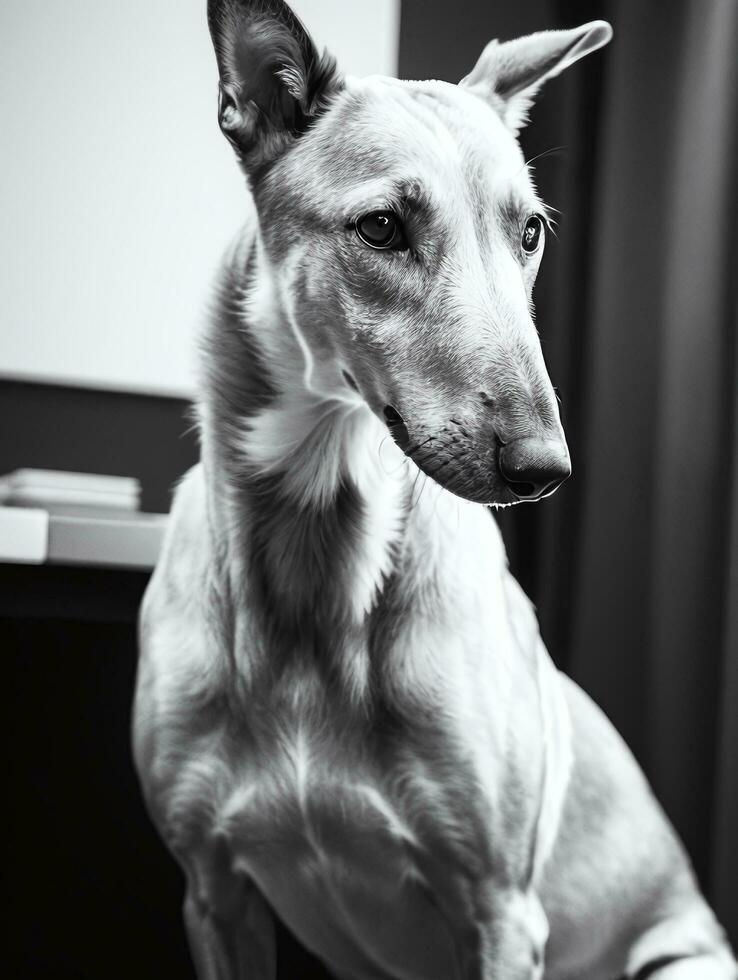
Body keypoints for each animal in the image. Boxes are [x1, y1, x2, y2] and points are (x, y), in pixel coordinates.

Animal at [134, 3, 736, 976]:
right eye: (381, 228)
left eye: (530, 233)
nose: (546, 470)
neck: (317, 553)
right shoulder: (213, 893)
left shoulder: (500, 911)